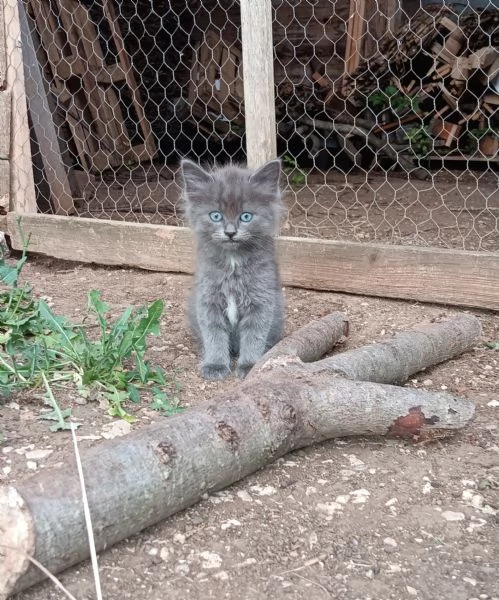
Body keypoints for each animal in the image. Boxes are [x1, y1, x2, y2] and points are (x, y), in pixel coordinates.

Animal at [183, 157, 286, 378]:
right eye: (216, 216)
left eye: (246, 216)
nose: (230, 233)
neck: (233, 261)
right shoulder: (208, 300)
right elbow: (214, 335)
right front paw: (215, 365)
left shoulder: (261, 301)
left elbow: (254, 335)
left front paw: (249, 364)